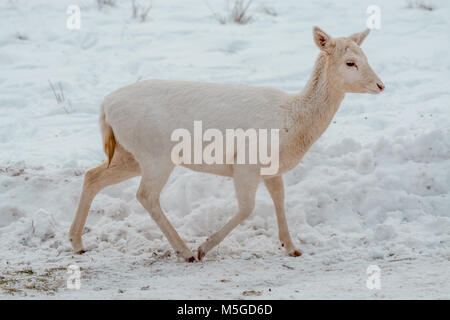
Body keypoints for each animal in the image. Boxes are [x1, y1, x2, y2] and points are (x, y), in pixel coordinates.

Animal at [69, 26, 384, 262]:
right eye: (350, 63)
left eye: (366, 56)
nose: (381, 85)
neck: (292, 121)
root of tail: (105, 107)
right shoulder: (245, 164)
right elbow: (247, 208)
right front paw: (204, 248)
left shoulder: (272, 169)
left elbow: (280, 199)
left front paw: (292, 247)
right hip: (155, 154)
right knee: (145, 195)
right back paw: (185, 251)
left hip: (129, 154)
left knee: (93, 176)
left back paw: (77, 242)